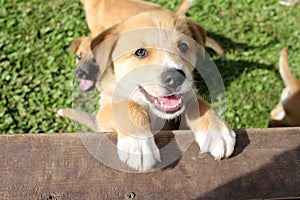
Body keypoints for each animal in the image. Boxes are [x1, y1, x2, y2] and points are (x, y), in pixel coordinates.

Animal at [90, 10, 236, 171]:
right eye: (140, 52)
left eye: (183, 46)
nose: (175, 78)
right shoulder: (104, 110)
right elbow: (126, 105)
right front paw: (138, 144)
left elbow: (199, 103)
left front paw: (217, 131)